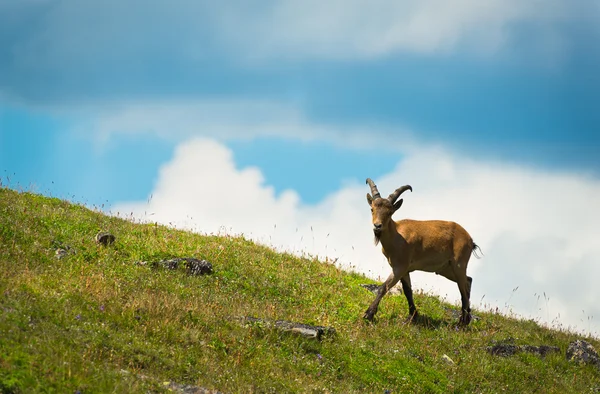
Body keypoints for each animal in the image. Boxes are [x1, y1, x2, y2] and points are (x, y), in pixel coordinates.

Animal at [364, 179, 480, 326]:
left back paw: (461, 324)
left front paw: (369, 314)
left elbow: (383, 287)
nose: (377, 226)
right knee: (468, 281)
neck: (396, 235)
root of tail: (470, 239)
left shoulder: (399, 267)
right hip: (446, 269)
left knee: (463, 290)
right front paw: (412, 316)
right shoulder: (404, 269)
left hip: (459, 264)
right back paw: (467, 319)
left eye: (390, 212)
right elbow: (408, 291)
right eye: (372, 209)